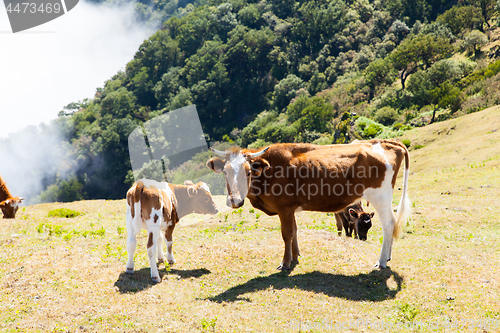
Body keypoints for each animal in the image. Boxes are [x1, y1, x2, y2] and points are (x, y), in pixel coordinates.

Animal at [207, 139, 410, 268]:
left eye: (248, 172)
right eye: (225, 172)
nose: (234, 200)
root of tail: (386, 142)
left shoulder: (284, 208)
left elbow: (287, 234)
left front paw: (285, 263)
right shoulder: (290, 208)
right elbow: (295, 231)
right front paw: (295, 257)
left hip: (379, 196)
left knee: (388, 224)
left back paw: (381, 261)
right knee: (393, 222)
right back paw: (388, 256)